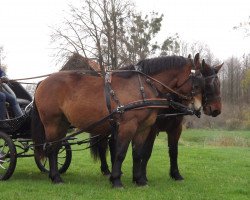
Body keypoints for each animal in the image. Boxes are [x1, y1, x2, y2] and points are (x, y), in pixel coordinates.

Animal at [31, 54, 203, 188]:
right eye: (197, 81)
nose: (198, 108)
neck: (141, 87)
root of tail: (42, 82)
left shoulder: (143, 128)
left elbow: (138, 154)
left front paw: (140, 180)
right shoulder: (128, 126)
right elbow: (120, 153)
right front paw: (116, 181)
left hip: (62, 124)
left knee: (55, 147)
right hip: (52, 123)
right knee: (51, 149)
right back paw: (56, 178)